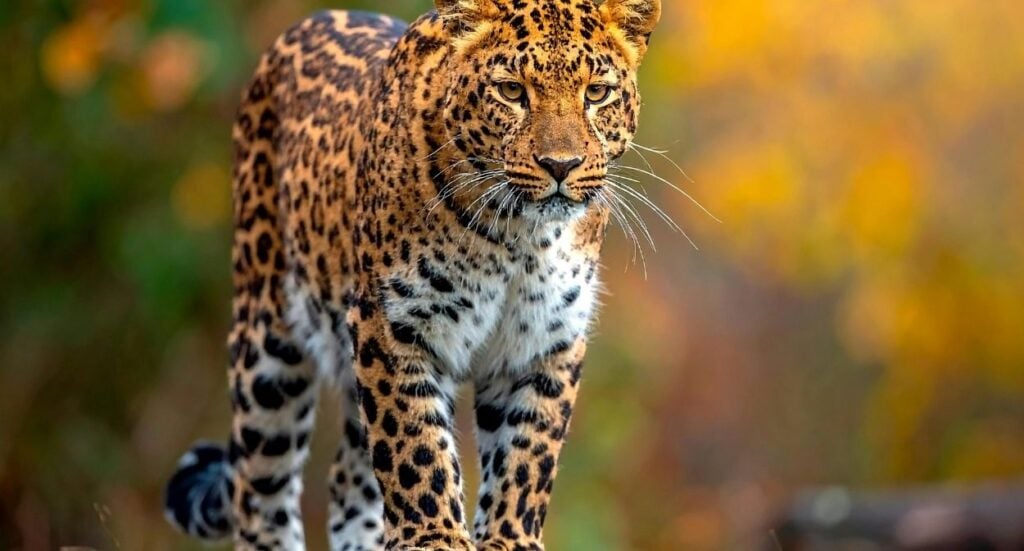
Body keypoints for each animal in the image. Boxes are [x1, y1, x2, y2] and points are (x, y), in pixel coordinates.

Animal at [164, 1, 662, 549]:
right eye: (512, 91)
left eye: (597, 94)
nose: (561, 165)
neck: (521, 236)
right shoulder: (392, 323)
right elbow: (413, 445)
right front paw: (436, 535)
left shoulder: (545, 339)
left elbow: (529, 451)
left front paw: (509, 537)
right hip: (268, 343)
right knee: (258, 493)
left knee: (346, 478)